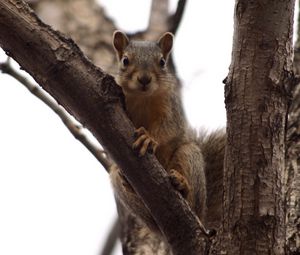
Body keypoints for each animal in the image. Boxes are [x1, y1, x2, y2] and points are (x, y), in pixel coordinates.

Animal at [109, 30, 224, 233]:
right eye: (125, 60)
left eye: (162, 62)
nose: (144, 79)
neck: (142, 97)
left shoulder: (170, 106)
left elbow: (168, 128)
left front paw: (148, 138)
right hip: (117, 178)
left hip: (189, 154)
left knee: (192, 203)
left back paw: (182, 186)